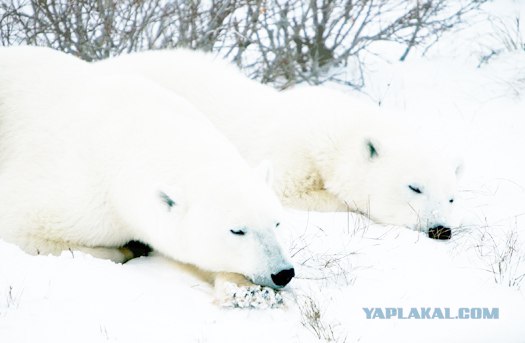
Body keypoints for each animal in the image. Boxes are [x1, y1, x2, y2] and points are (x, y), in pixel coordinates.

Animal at [0, 47, 294, 292]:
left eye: (277, 222)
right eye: (237, 230)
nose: (283, 272)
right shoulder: (73, 193)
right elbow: (24, 230)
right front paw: (127, 249)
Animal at [95, 49, 462, 241]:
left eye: (451, 197)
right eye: (414, 187)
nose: (440, 229)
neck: (326, 130)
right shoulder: (288, 155)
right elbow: (294, 193)